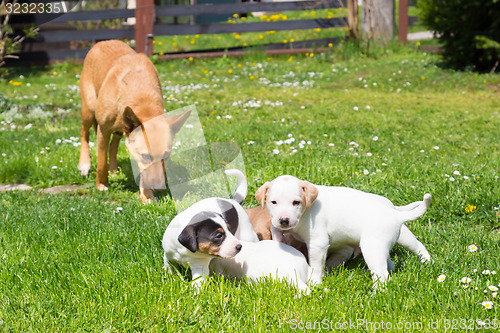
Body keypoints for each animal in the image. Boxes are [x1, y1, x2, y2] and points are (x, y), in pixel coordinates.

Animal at [79, 40, 190, 201]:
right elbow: (101, 163)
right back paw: (84, 164)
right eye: (145, 156)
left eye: (166, 155)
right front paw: (101, 185)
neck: (142, 97)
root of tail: (103, 42)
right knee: (84, 132)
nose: (158, 187)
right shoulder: (103, 130)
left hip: (120, 128)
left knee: (113, 145)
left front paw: (147, 195)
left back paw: (113, 170)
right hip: (88, 110)